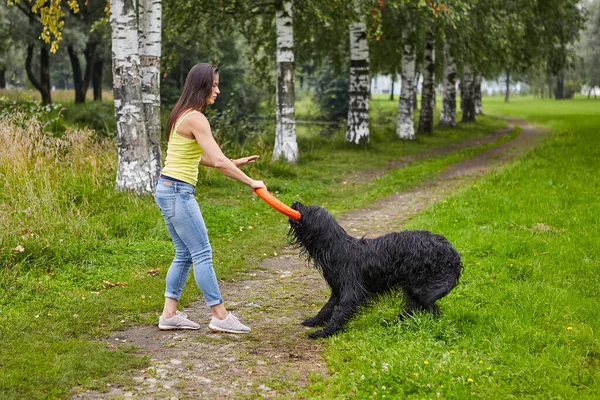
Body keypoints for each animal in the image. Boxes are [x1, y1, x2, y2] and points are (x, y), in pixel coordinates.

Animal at [288, 203, 462, 338]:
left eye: (307, 209)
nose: (295, 202)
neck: (338, 249)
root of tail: (452, 251)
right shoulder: (338, 290)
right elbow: (326, 308)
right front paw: (314, 321)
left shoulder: (352, 291)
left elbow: (339, 312)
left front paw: (325, 332)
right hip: (413, 286)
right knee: (414, 308)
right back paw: (396, 323)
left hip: (422, 287)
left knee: (431, 309)